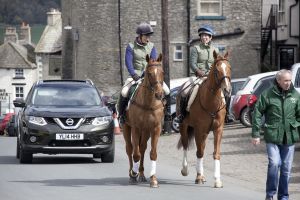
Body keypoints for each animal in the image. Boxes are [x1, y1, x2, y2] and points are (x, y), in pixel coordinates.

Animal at [122, 53, 165, 188]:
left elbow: (152, 153)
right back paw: (132, 173)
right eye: (149, 73)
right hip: (127, 127)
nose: (159, 94)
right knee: (130, 149)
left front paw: (153, 179)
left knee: (142, 148)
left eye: (162, 72)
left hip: (145, 131)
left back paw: (141, 174)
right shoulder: (136, 128)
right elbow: (136, 154)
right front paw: (133, 173)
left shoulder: (155, 129)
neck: (148, 103)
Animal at [177, 50, 231, 188]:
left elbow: (215, 153)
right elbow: (199, 152)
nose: (227, 90)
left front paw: (217, 180)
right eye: (217, 71)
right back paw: (185, 170)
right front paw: (199, 177)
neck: (211, 101)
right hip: (184, 127)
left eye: (229, 68)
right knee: (186, 145)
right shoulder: (199, 129)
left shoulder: (218, 129)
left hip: (205, 132)